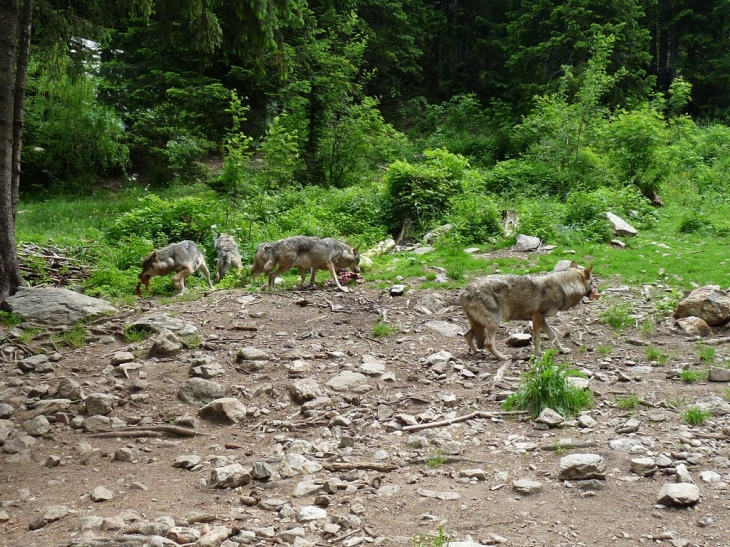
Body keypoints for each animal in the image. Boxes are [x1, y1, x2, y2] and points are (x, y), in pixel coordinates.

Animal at [460, 264, 596, 362]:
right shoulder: (537, 317)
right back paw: (503, 357)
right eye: (593, 283)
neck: (564, 287)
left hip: (481, 325)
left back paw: (477, 352)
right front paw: (538, 355)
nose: (596, 291)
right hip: (494, 323)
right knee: (488, 343)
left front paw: (562, 350)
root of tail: (464, 291)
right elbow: (537, 340)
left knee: (467, 335)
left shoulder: (542, 319)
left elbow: (554, 337)